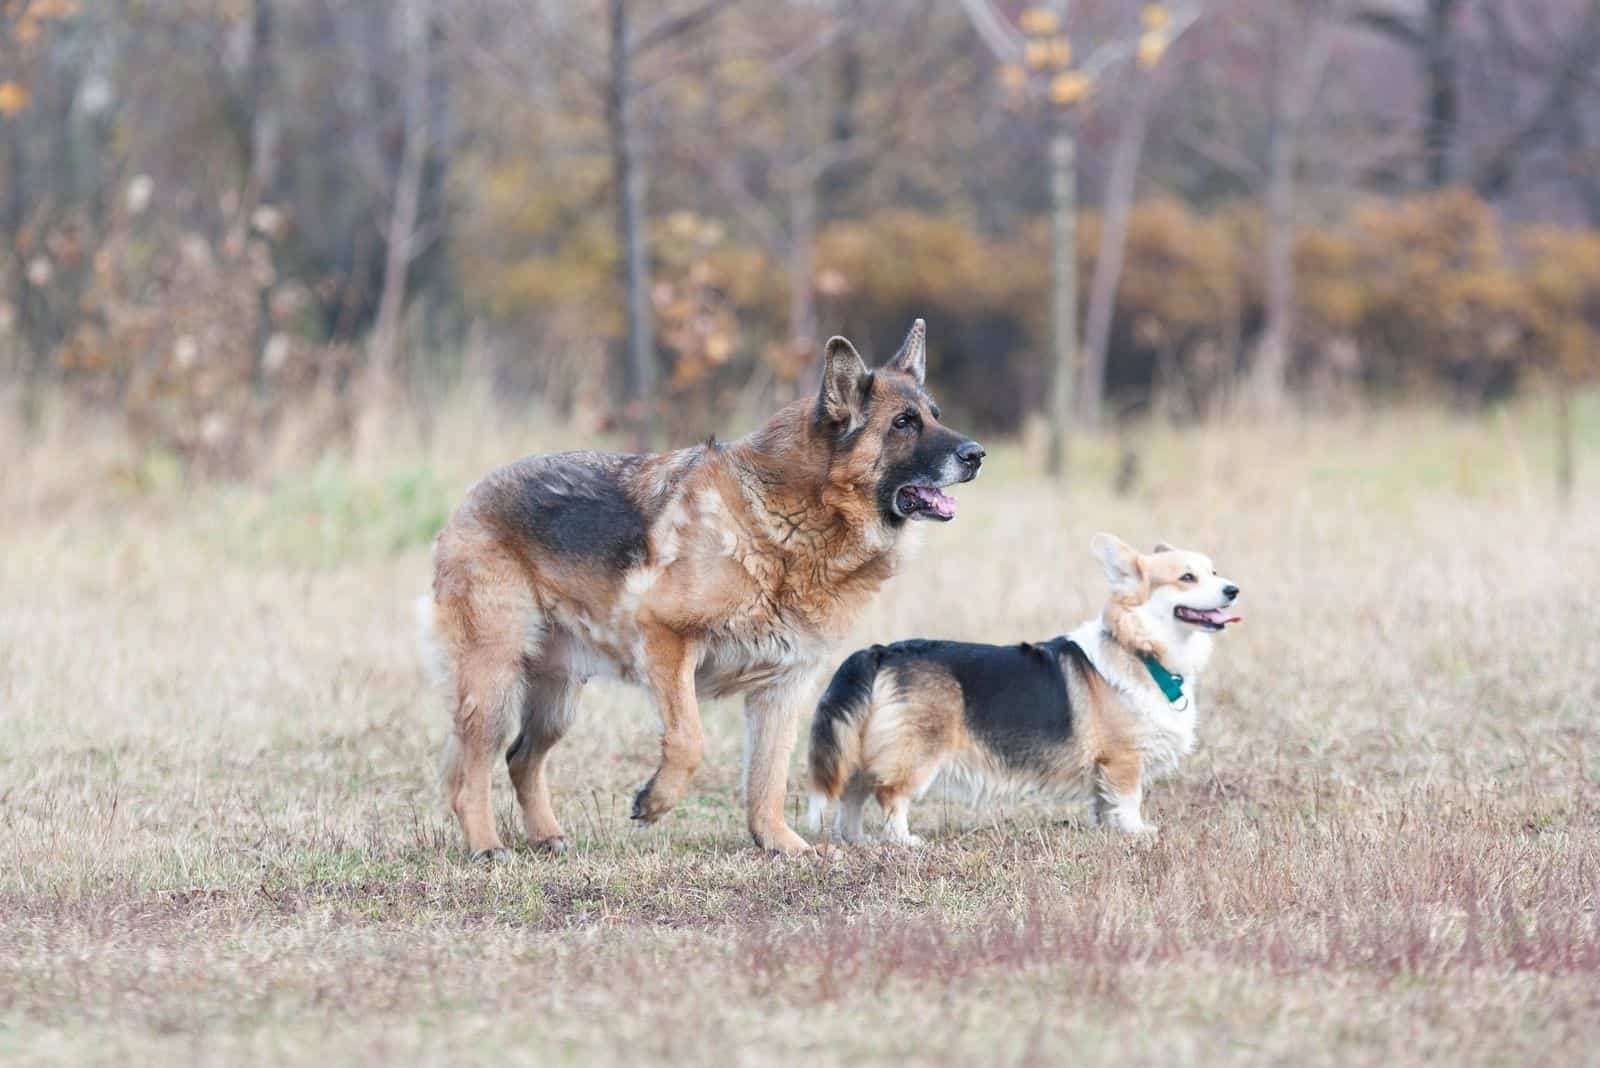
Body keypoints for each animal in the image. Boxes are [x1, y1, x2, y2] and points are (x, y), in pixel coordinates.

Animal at [419, 319, 979, 856]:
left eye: (934, 414)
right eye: (903, 423)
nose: (977, 454)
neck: (796, 519)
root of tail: (472, 495)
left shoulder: (782, 688)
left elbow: (769, 779)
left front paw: (781, 845)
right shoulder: (667, 642)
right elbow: (690, 741)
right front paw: (655, 803)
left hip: (558, 697)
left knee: (520, 758)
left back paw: (547, 836)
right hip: (494, 680)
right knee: (471, 772)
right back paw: (486, 847)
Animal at [812, 537, 1235, 844]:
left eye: (1214, 572)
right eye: (1187, 577)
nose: (1234, 589)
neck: (1139, 648)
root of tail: (879, 652)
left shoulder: (1103, 768)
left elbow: (1103, 803)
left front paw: (1107, 831)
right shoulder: (1123, 759)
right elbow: (1129, 799)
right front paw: (1136, 832)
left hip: (864, 748)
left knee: (851, 795)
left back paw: (857, 840)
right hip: (915, 752)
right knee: (889, 795)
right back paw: (903, 842)